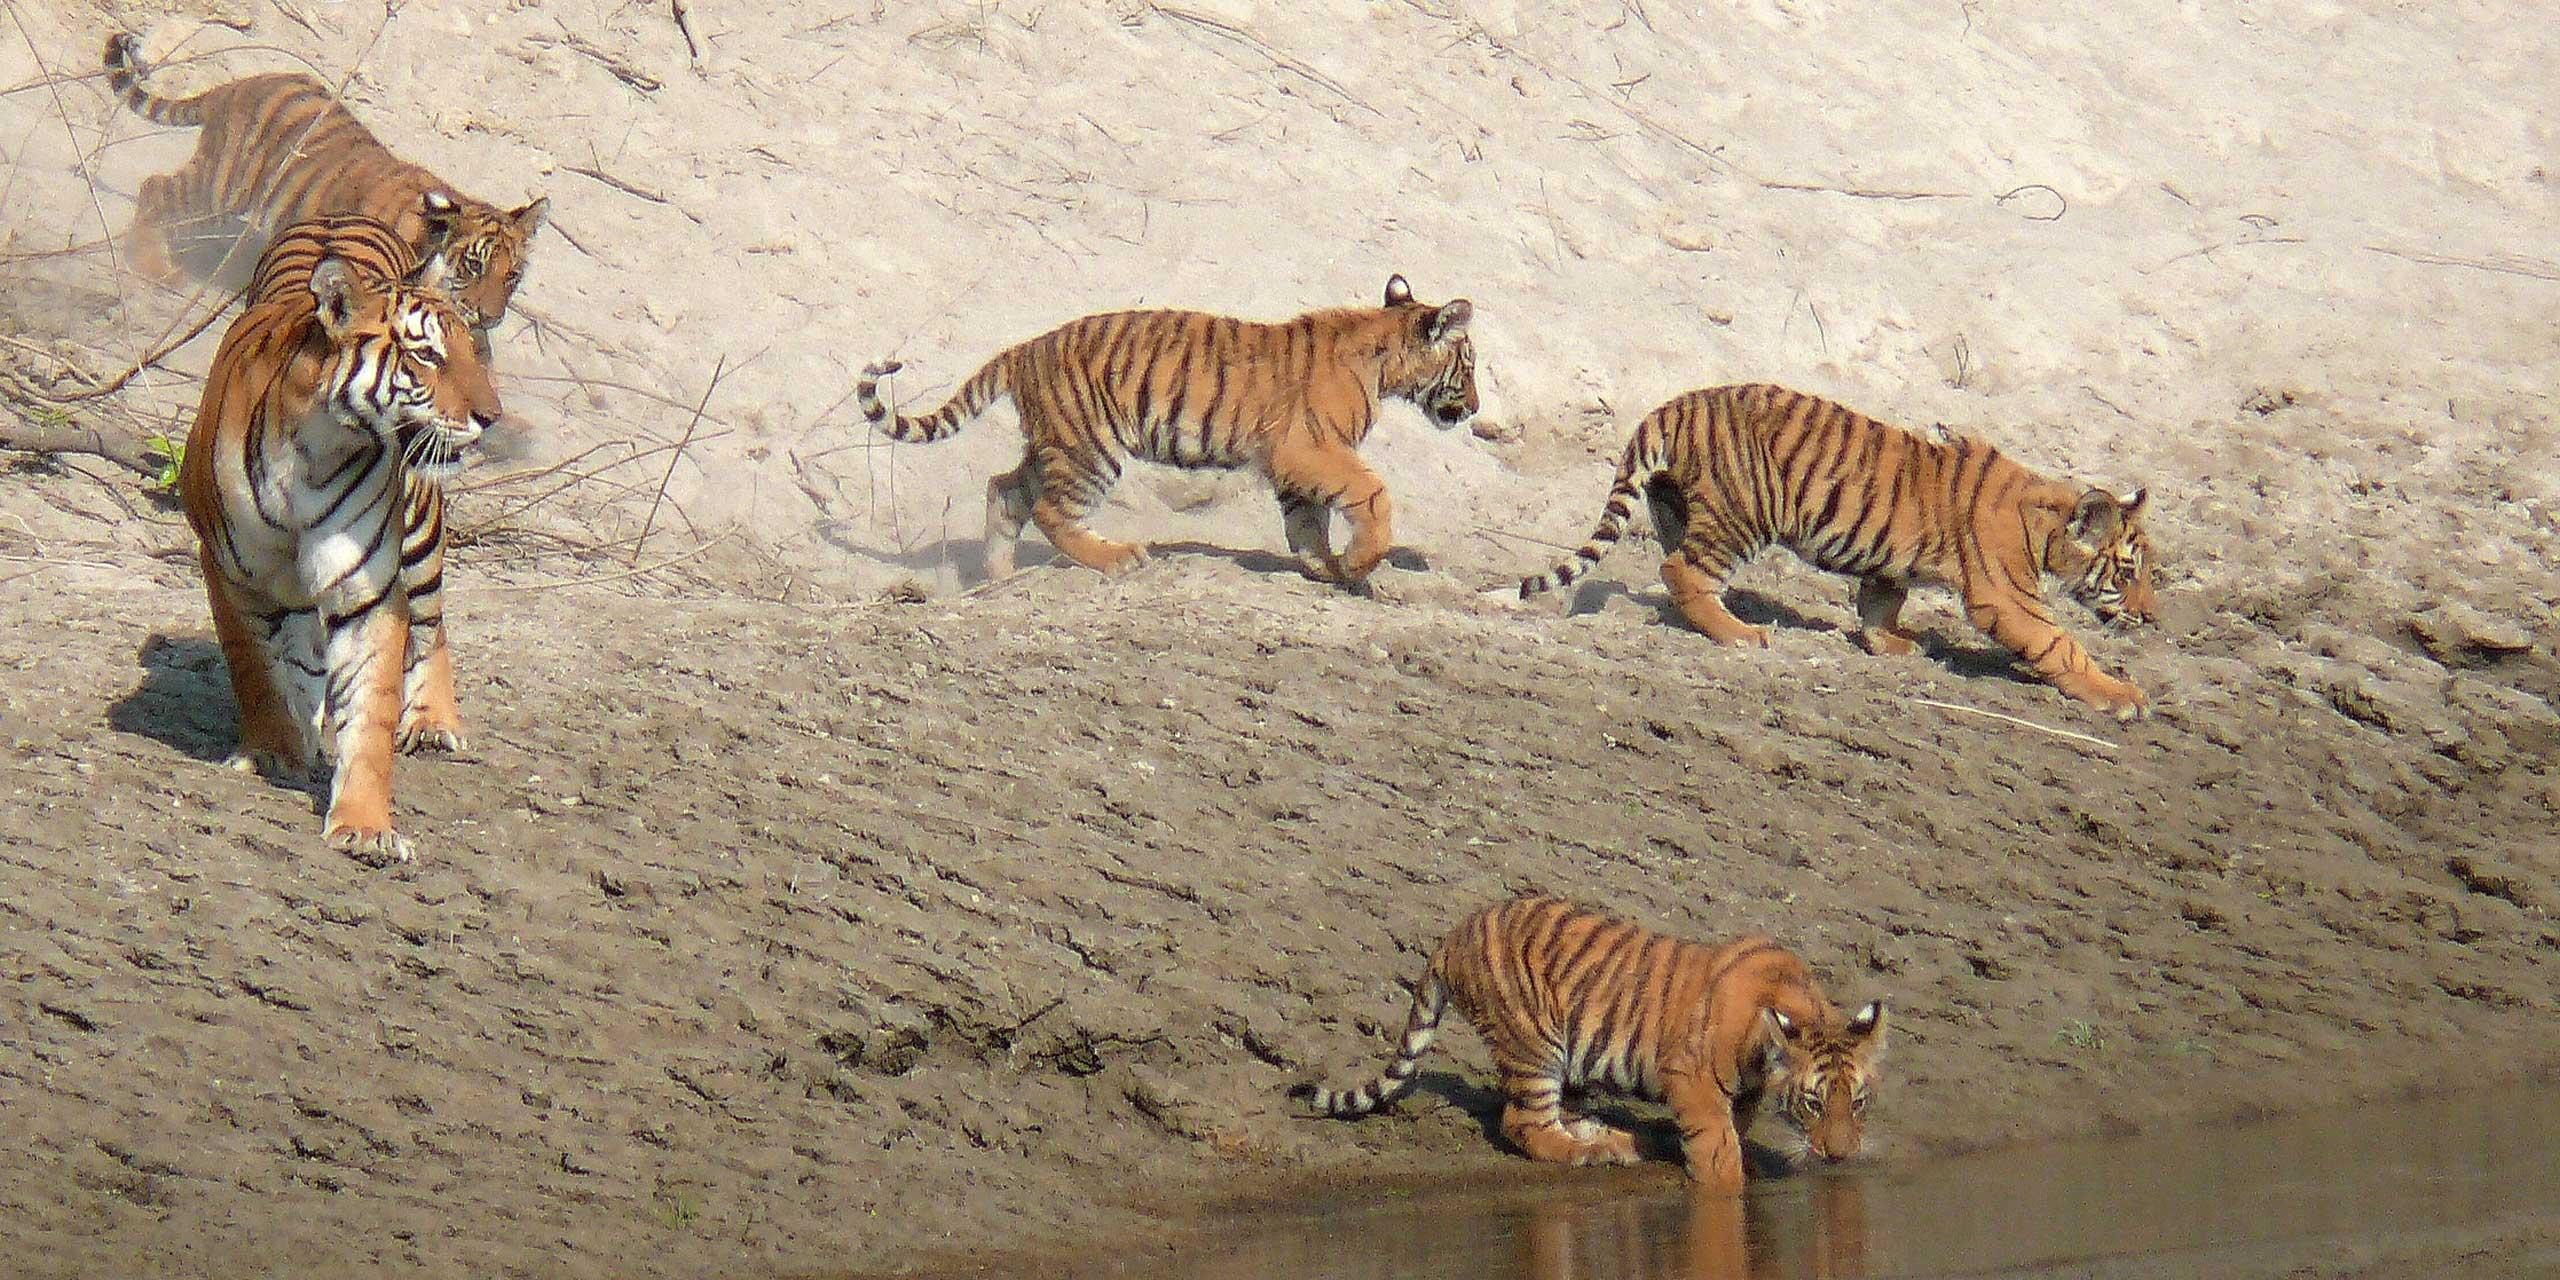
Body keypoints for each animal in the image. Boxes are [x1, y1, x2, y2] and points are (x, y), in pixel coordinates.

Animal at [102, 32, 547, 360]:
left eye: (511, 277)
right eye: (473, 266)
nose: (490, 317)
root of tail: (239, 84)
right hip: (221, 188)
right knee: (155, 188)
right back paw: (151, 264)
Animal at [179, 212, 497, 860]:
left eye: (470, 352)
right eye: (427, 355)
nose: (492, 416)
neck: (318, 448)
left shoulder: (369, 591)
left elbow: (370, 710)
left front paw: (365, 825)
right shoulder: (229, 571)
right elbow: (254, 667)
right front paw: (273, 749)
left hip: (421, 535)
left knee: (434, 626)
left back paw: (434, 723)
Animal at [855, 274, 1478, 583]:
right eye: (1468, 365)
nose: (1473, 409)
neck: (1385, 358)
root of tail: (1024, 347)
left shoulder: (1295, 460)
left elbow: (1307, 522)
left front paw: (1325, 567)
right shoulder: (1311, 447)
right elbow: (1372, 495)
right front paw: (1358, 562)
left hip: (1055, 442)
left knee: (1005, 491)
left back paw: (995, 577)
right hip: (1090, 450)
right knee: (1052, 512)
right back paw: (1117, 559)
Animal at [1293, 895, 1887, 1194]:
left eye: (1858, 1102)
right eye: (1813, 1103)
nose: (1840, 1156)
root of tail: (1454, 933)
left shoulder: (1742, 1091)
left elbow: (1732, 1127)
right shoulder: (1691, 1077)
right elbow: (1716, 1145)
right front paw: (1726, 1184)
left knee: (1565, 1113)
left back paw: (1619, 1140)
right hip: (1536, 1043)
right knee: (1523, 1122)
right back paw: (1590, 1153)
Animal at [1519, 383, 2157, 718]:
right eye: (2127, 573)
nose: (2151, 617)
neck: (2045, 525)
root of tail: (1673, 405)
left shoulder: (1891, 561)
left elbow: (1880, 601)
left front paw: (1892, 644)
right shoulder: (2008, 597)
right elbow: (2062, 645)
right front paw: (2121, 695)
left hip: (1679, 506)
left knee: (1677, 568)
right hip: (1742, 516)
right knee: (1682, 571)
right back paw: (1741, 634)